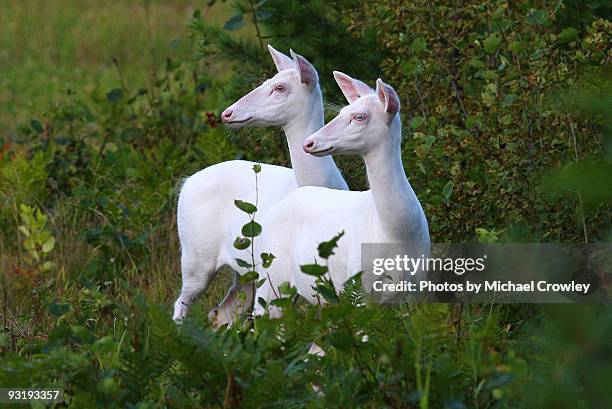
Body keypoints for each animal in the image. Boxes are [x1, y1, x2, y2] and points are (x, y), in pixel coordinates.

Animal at [173, 45, 350, 326]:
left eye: (279, 87)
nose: (227, 113)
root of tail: (187, 182)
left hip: (246, 269)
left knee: (222, 311)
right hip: (195, 253)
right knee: (182, 303)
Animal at [253, 72, 430, 312]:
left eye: (359, 116)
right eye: (341, 111)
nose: (309, 142)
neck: (394, 233)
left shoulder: (417, 290)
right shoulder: (360, 285)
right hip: (271, 274)